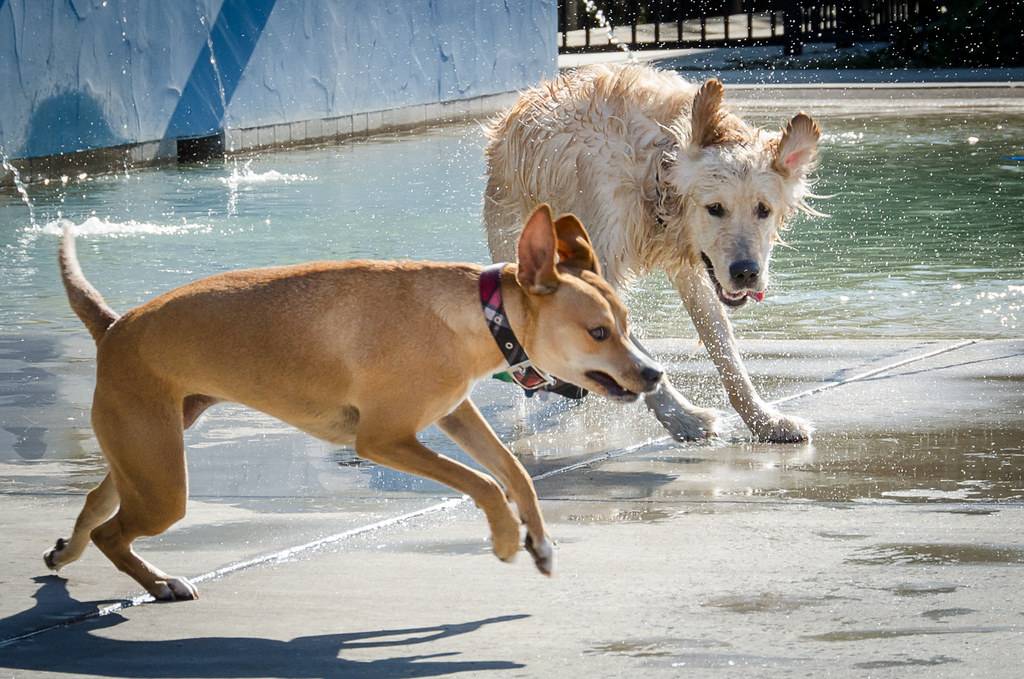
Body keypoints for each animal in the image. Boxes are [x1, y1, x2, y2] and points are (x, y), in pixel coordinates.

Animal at [46, 205, 663, 602]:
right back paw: (155, 581)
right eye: (599, 333)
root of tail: (113, 326)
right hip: (163, 485)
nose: (654, 373)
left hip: (146, 458)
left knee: (96, 505)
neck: (474, 315)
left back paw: (67, 554)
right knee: (111, 531)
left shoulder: (455, 414)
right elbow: (485, 482)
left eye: (628, 325)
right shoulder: (385, 440)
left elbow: (513, 470)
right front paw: (509, 538)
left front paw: (540, 540)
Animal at [485, 63, 823, 444]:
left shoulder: (694, 269)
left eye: (763, 210)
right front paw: (685, 418)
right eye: (714, 208)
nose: (746, 272)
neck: (654, 169)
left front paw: (765, 420)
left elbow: (723, 345)